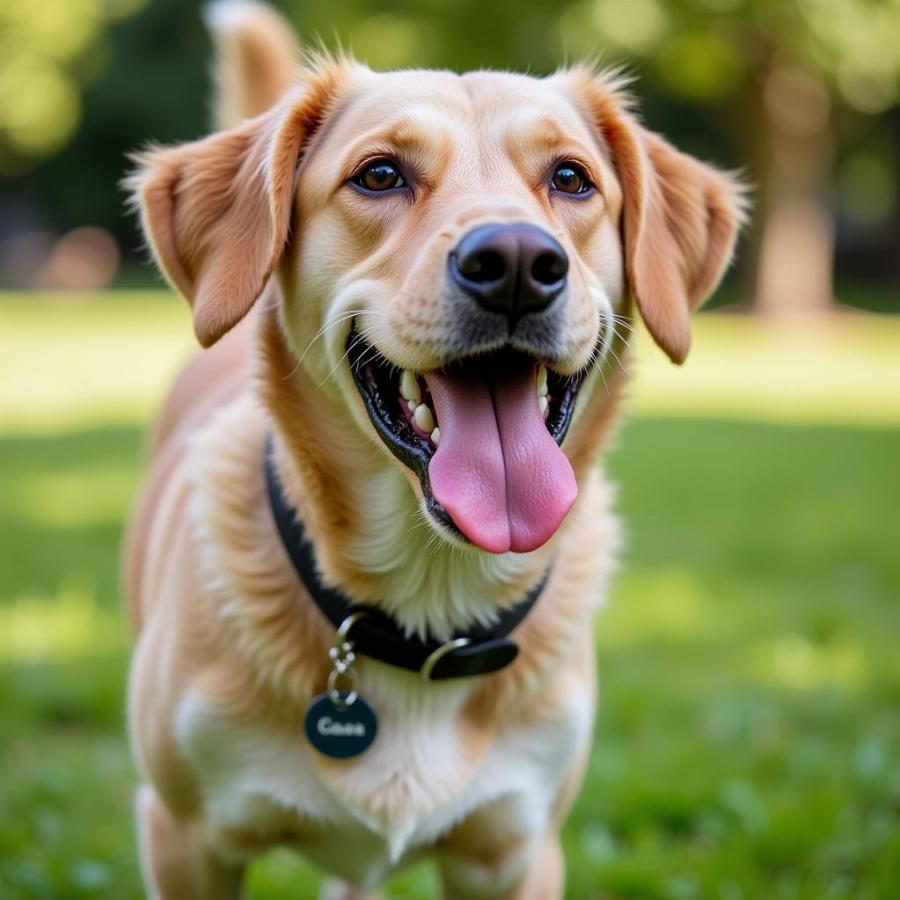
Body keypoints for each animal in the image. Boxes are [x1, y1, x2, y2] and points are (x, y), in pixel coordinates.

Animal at [123, 3, 744, 896]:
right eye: (380, 175)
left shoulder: (516, 852)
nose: (517, 262)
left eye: (571, 179)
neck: (431, 602)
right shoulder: (184, 840)